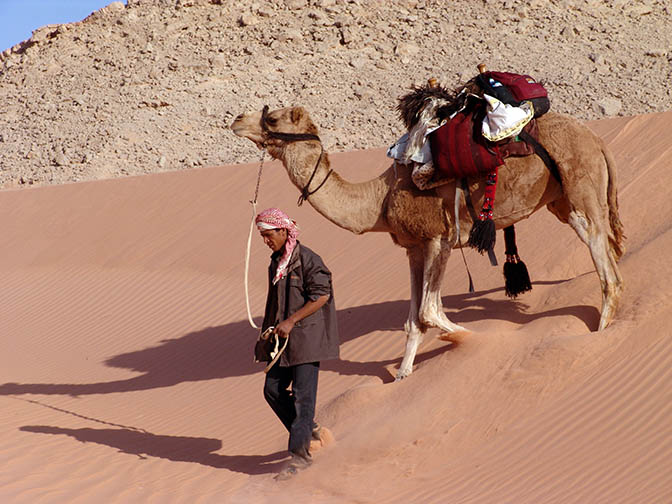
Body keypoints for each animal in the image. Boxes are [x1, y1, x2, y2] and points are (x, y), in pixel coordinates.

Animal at [231, 94, 624, 380]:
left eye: (273, 118)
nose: (236, 120)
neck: (381, 197)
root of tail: (596, 138)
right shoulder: (413, 248)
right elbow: (413, 319)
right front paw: (403, 375)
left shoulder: (440, 239)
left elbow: (429, 311)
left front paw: (472, 339)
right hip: (559, 198)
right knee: (604, 242)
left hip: (580, 181)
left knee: (598, 244)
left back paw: (603, 325)